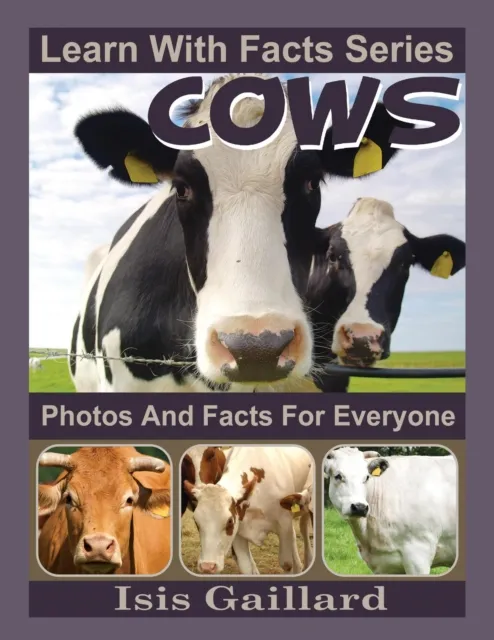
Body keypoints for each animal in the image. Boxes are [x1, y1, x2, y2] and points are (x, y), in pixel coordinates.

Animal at [183, 446, 312, 575]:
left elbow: (286, 564)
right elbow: (246, 567)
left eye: (229, 521)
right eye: (196, 521)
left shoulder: (284, 525)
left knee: (303, 528)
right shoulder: (238, 533)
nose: (207, 566)